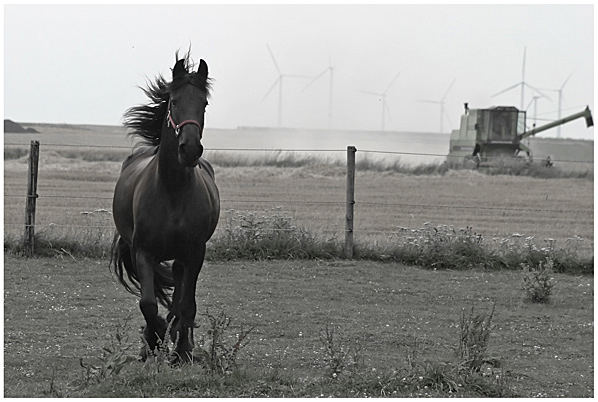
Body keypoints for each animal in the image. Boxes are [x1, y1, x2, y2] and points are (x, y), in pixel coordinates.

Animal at [110, 51, 220, 362]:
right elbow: (148, 304)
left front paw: (182, 351)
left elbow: (187, 305)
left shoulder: (195, 253)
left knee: (181, 299)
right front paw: (152, 340)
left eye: (204, 103)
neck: (172, 191)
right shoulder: (143, 252)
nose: (190, 149)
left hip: (182, 258)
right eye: (174, 101)